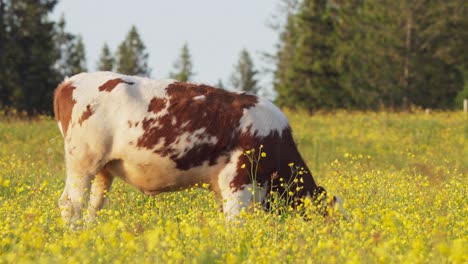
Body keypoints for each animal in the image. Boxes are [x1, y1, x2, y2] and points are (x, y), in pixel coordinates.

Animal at [53, 72, 344, 227]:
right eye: (329, 219)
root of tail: (68, 83)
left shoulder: (223, 187)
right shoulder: (238, 182)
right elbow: (235, 224)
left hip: (103, 169)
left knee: (93, 207)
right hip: (83, 162)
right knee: (71, 204)